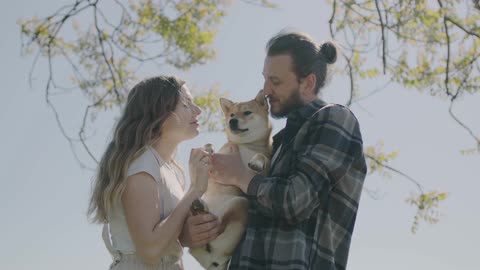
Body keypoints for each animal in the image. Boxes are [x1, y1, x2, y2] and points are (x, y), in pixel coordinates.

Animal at [189, 90, 272, 270]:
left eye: (247, 112)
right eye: (232, 114)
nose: (232, 121)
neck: (246, 146)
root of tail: (215, 262)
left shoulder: (266, 170)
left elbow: (262, 157)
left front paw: (256, 162)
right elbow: (210, 149)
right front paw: (208, 148)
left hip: (241, 203)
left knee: (217, 226)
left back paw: (202, 212)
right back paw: (199, 209)